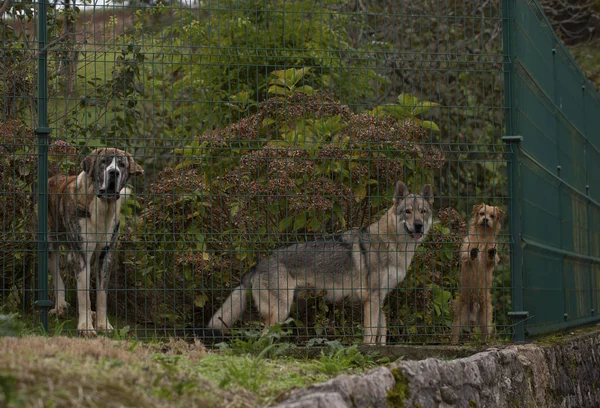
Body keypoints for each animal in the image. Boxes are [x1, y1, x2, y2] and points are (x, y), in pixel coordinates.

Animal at [46, 148, 144, 336]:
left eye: (122, 164)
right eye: (103, 162)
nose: (114, 172)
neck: (102, 207)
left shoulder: (105, 256)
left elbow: (101, 293)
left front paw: (102, 324)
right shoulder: (81, 253)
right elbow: (84, 294)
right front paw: (85, 327)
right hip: (50, 246)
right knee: (57, 275)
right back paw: (60, 306)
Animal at [209, 182, 434, 344]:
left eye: (423, 212)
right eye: (407, 211)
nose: (418, 226)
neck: (395, 246)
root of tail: (259, 264)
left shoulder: (379, 298)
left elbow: (383, 326)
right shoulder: (372, 297)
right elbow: (370, 333)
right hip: (280, 311)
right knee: (262, 338)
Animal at [450, 202, 502, 342]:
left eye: (492, 216)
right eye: (481, 213)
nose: (485, 220)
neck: (483, 236)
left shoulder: (491, 261)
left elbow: (492, 257)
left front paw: (490, 251)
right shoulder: (464, 255)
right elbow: (468, 255)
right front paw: (473, 252)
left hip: (485, 319)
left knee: (485, 334)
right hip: (459, 317)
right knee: (455, 334)